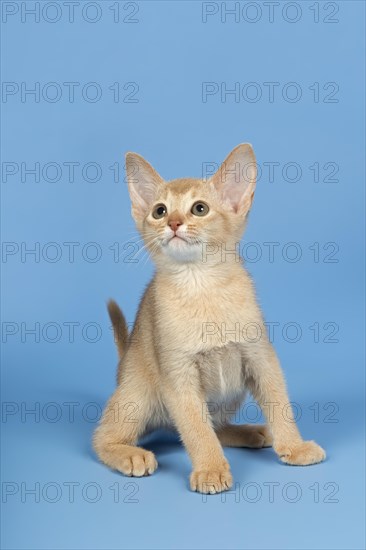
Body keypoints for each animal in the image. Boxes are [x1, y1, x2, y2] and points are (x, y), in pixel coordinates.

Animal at [93, 143, 324, 496]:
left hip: (232, 391)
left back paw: (251, 432)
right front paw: (211, 470)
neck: (201, 285)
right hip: (137, 395)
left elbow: (279, 404)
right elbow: (196, 428)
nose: (173, 223)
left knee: (216, 425)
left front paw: (294, 447)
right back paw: (130, 454)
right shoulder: (178, 374)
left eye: (199, 209)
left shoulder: (260, 357)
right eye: (159, 211)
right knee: (102, 438)